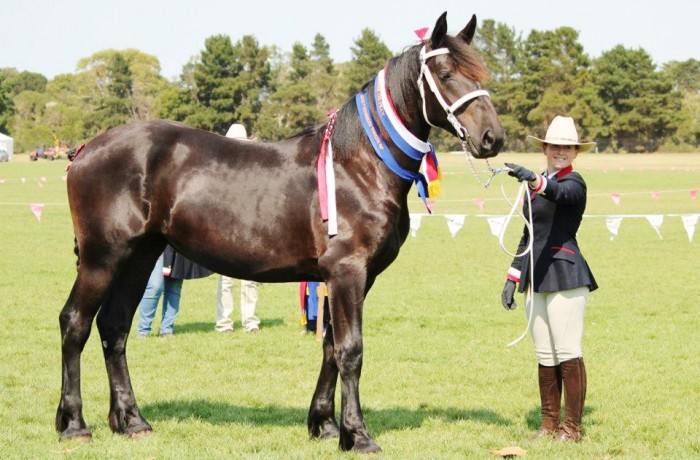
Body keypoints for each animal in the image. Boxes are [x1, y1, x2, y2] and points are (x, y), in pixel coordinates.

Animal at [56, 10, 504, 452]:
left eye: (481, 72)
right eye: (445, 74)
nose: (492, 138)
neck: (357, 163)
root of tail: (86, 149)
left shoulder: (350, 278)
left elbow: (330, 346)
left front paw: (325, 425)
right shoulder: (348, 272)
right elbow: (351, 350)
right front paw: (358, 435)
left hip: (139, 257)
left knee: (114, 327)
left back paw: (131, 421)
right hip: (102, 259)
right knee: (75, 323)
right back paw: (74, 424)